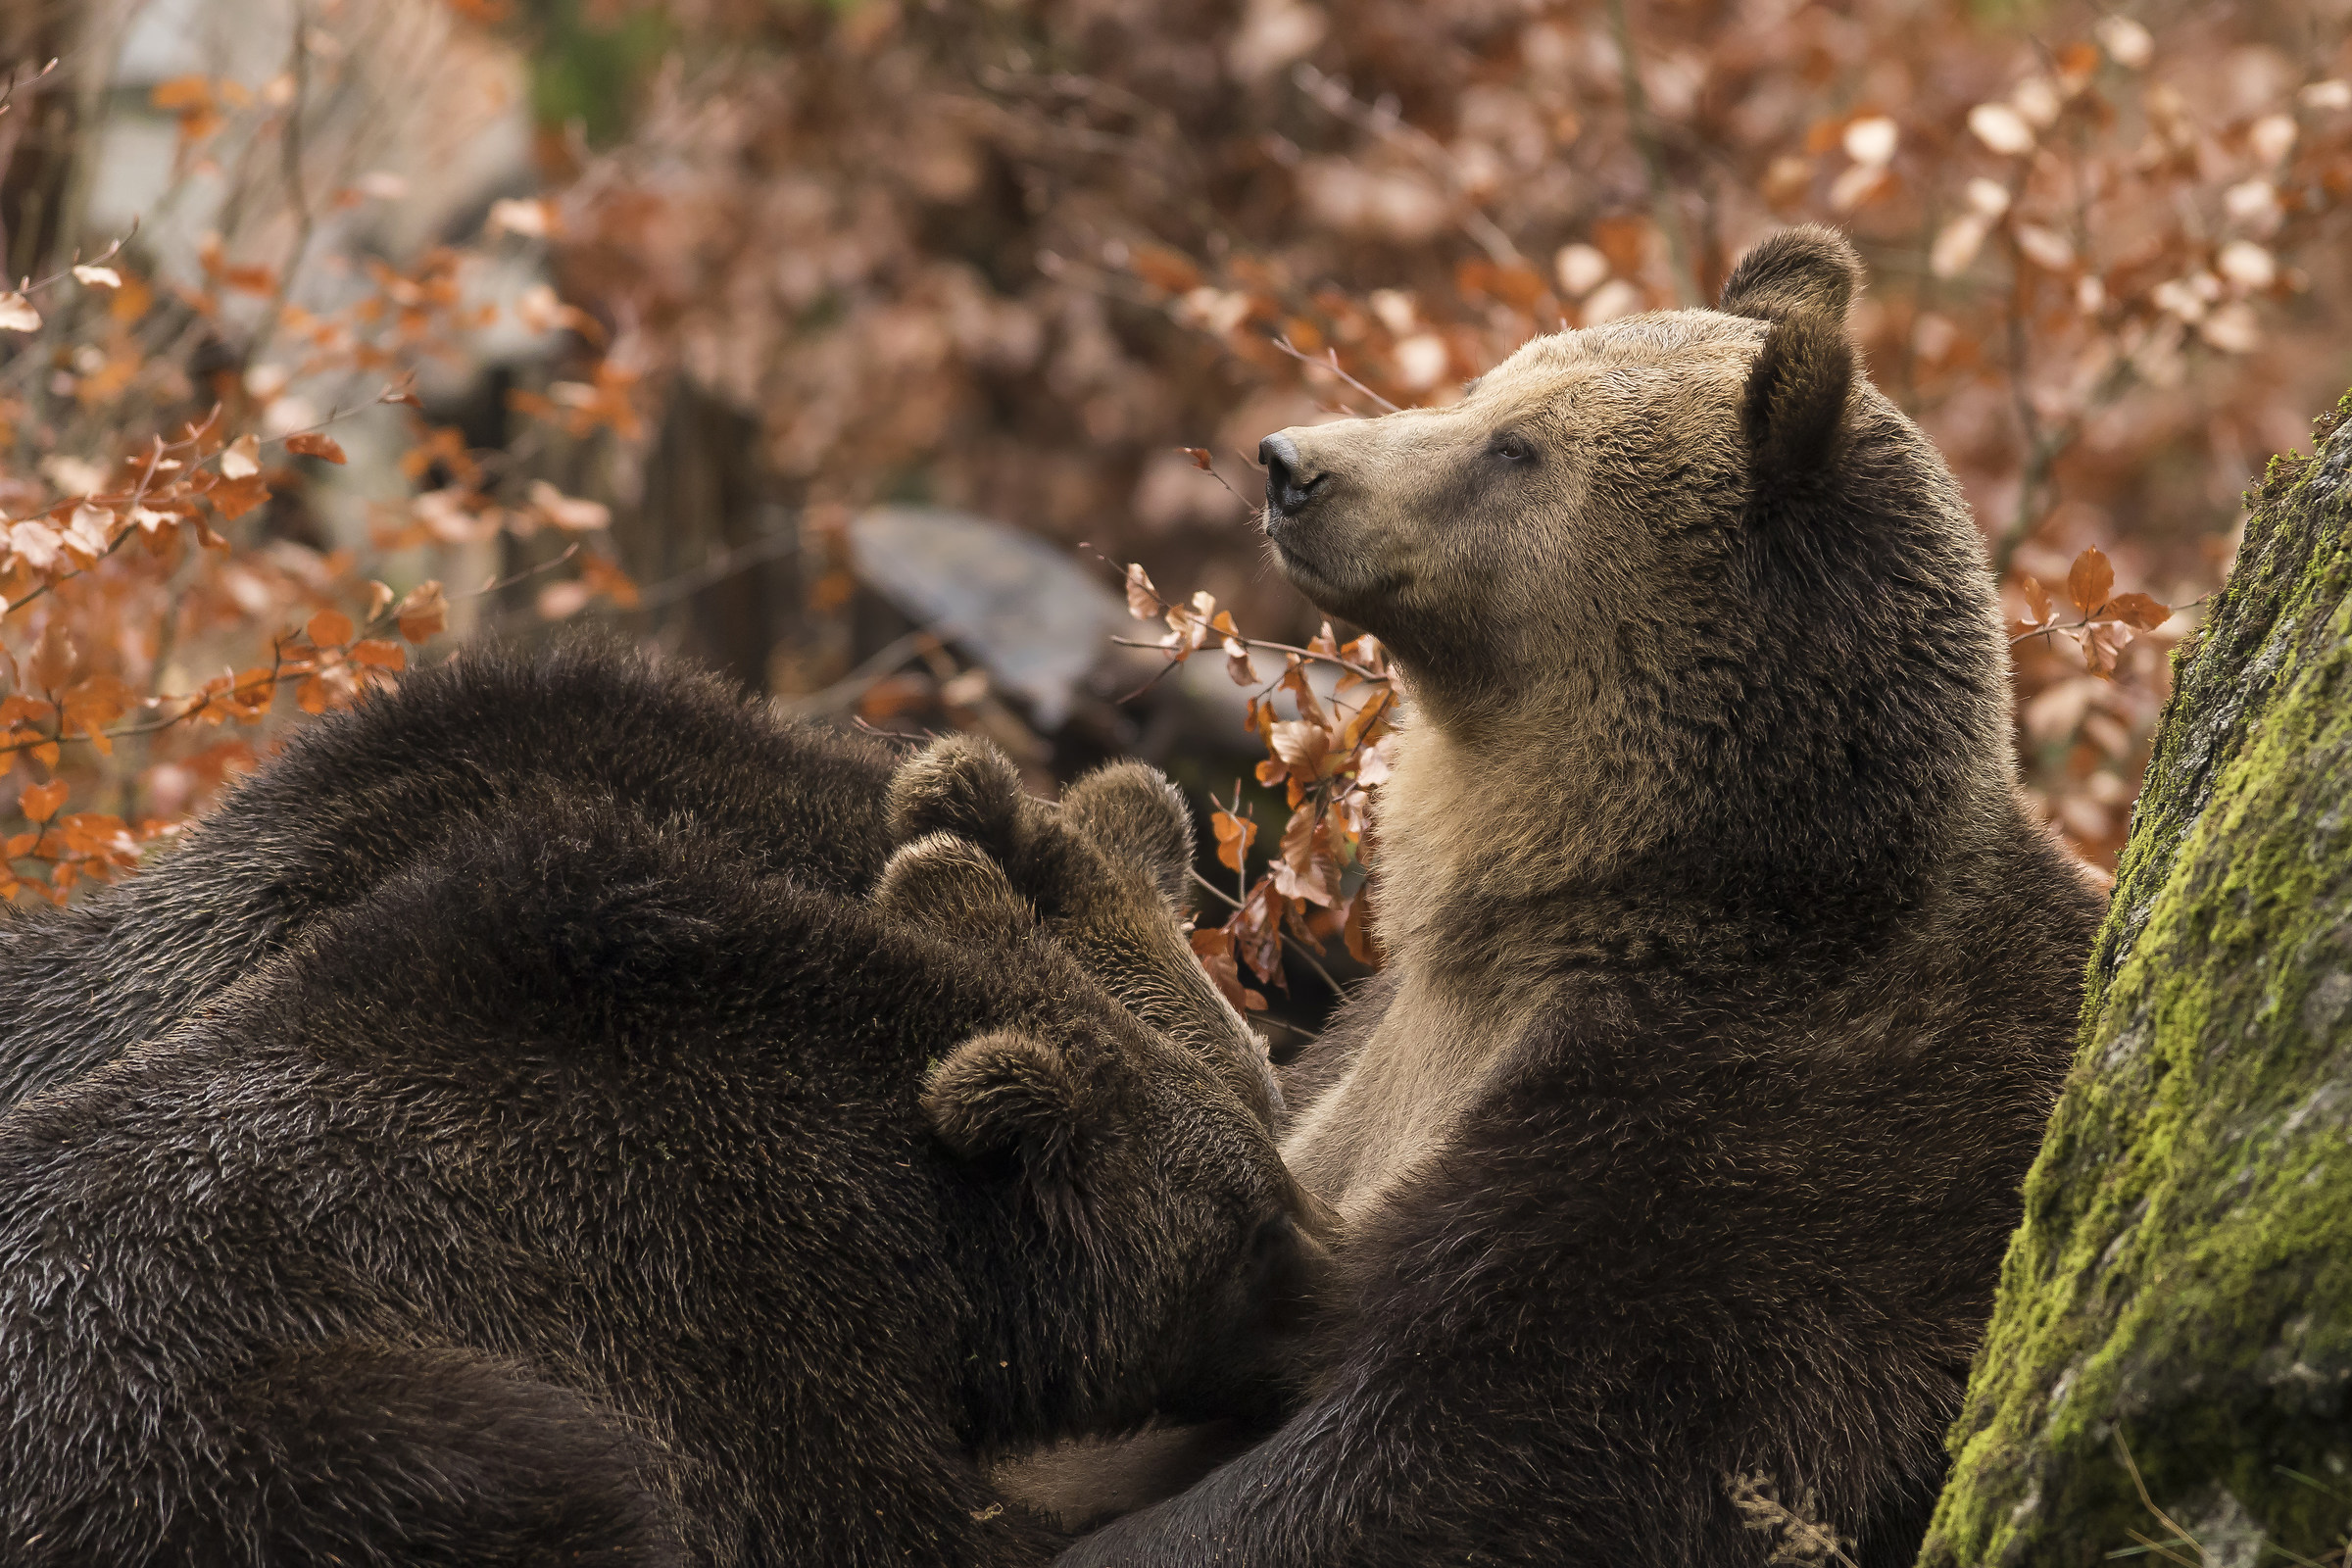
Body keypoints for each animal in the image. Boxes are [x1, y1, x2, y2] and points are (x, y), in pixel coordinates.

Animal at [1051, 227, 2105, 1566]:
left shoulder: (1738, 1148)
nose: (1291, 464)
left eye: (1518, 448)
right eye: (1487, 383)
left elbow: (1469, 1440)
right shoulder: (1374, 1056)